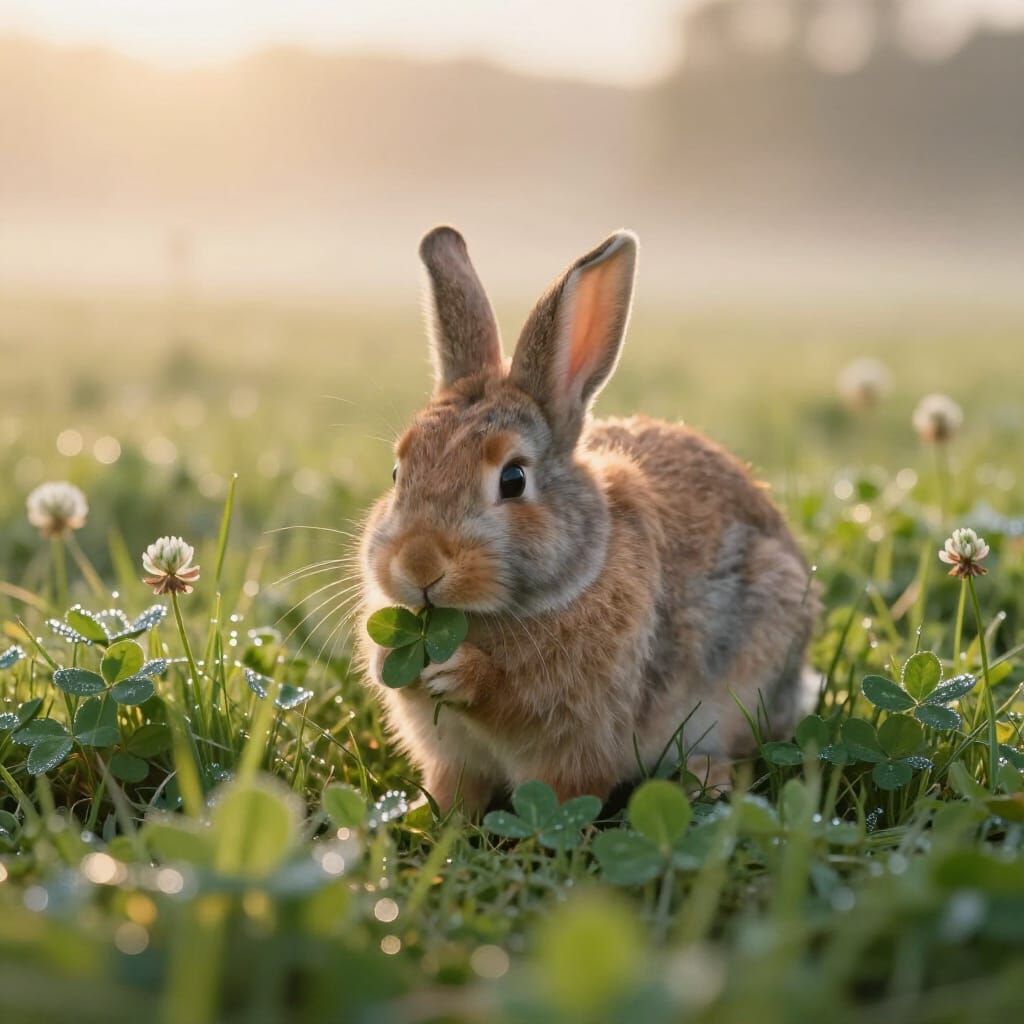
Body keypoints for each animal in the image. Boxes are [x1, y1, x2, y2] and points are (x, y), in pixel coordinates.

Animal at [357, 226, 819, 815]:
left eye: (513, 479)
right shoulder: (452, 757)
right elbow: (453, 789)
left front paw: (458, 672)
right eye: (398, 472)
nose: (418, 565)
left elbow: (522, 719)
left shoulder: (571, 732)